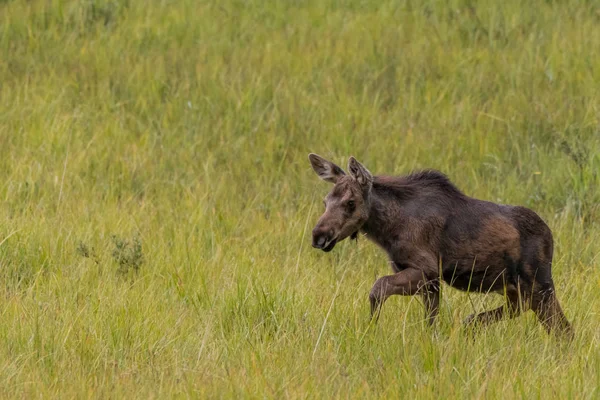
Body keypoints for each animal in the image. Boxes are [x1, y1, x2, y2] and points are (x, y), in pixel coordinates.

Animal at [310, 155, 572, 336]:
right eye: (325, 201)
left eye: (350, 202)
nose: (318, 236)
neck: (388, 230)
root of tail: (550, 235)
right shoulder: (428, 281)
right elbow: (430, 320)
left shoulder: (428, 270)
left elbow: (378, 287)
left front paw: (370, 331)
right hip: (515, 288)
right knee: (527, 313)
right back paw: (472, 324)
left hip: (539, 283)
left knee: (564, 329)